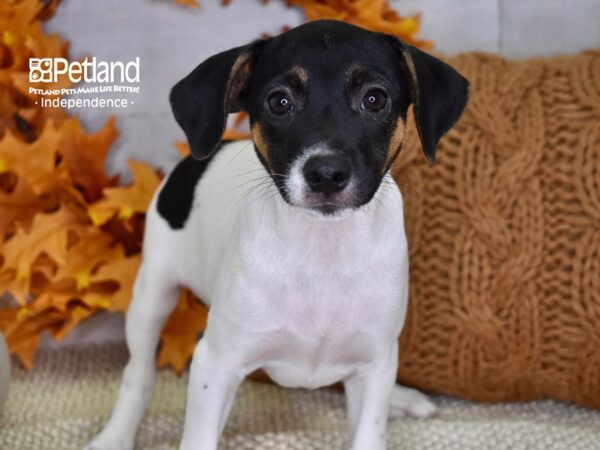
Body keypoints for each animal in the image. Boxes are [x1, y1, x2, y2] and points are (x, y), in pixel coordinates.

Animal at [86, 18, 468, 450]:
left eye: (375, 99)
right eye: (279, 102)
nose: (326, 173)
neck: (323, 250)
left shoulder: (374, 364)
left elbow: (370, 428)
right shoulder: (216, 363)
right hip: (152, 293)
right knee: (138, 374)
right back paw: (114, 436)